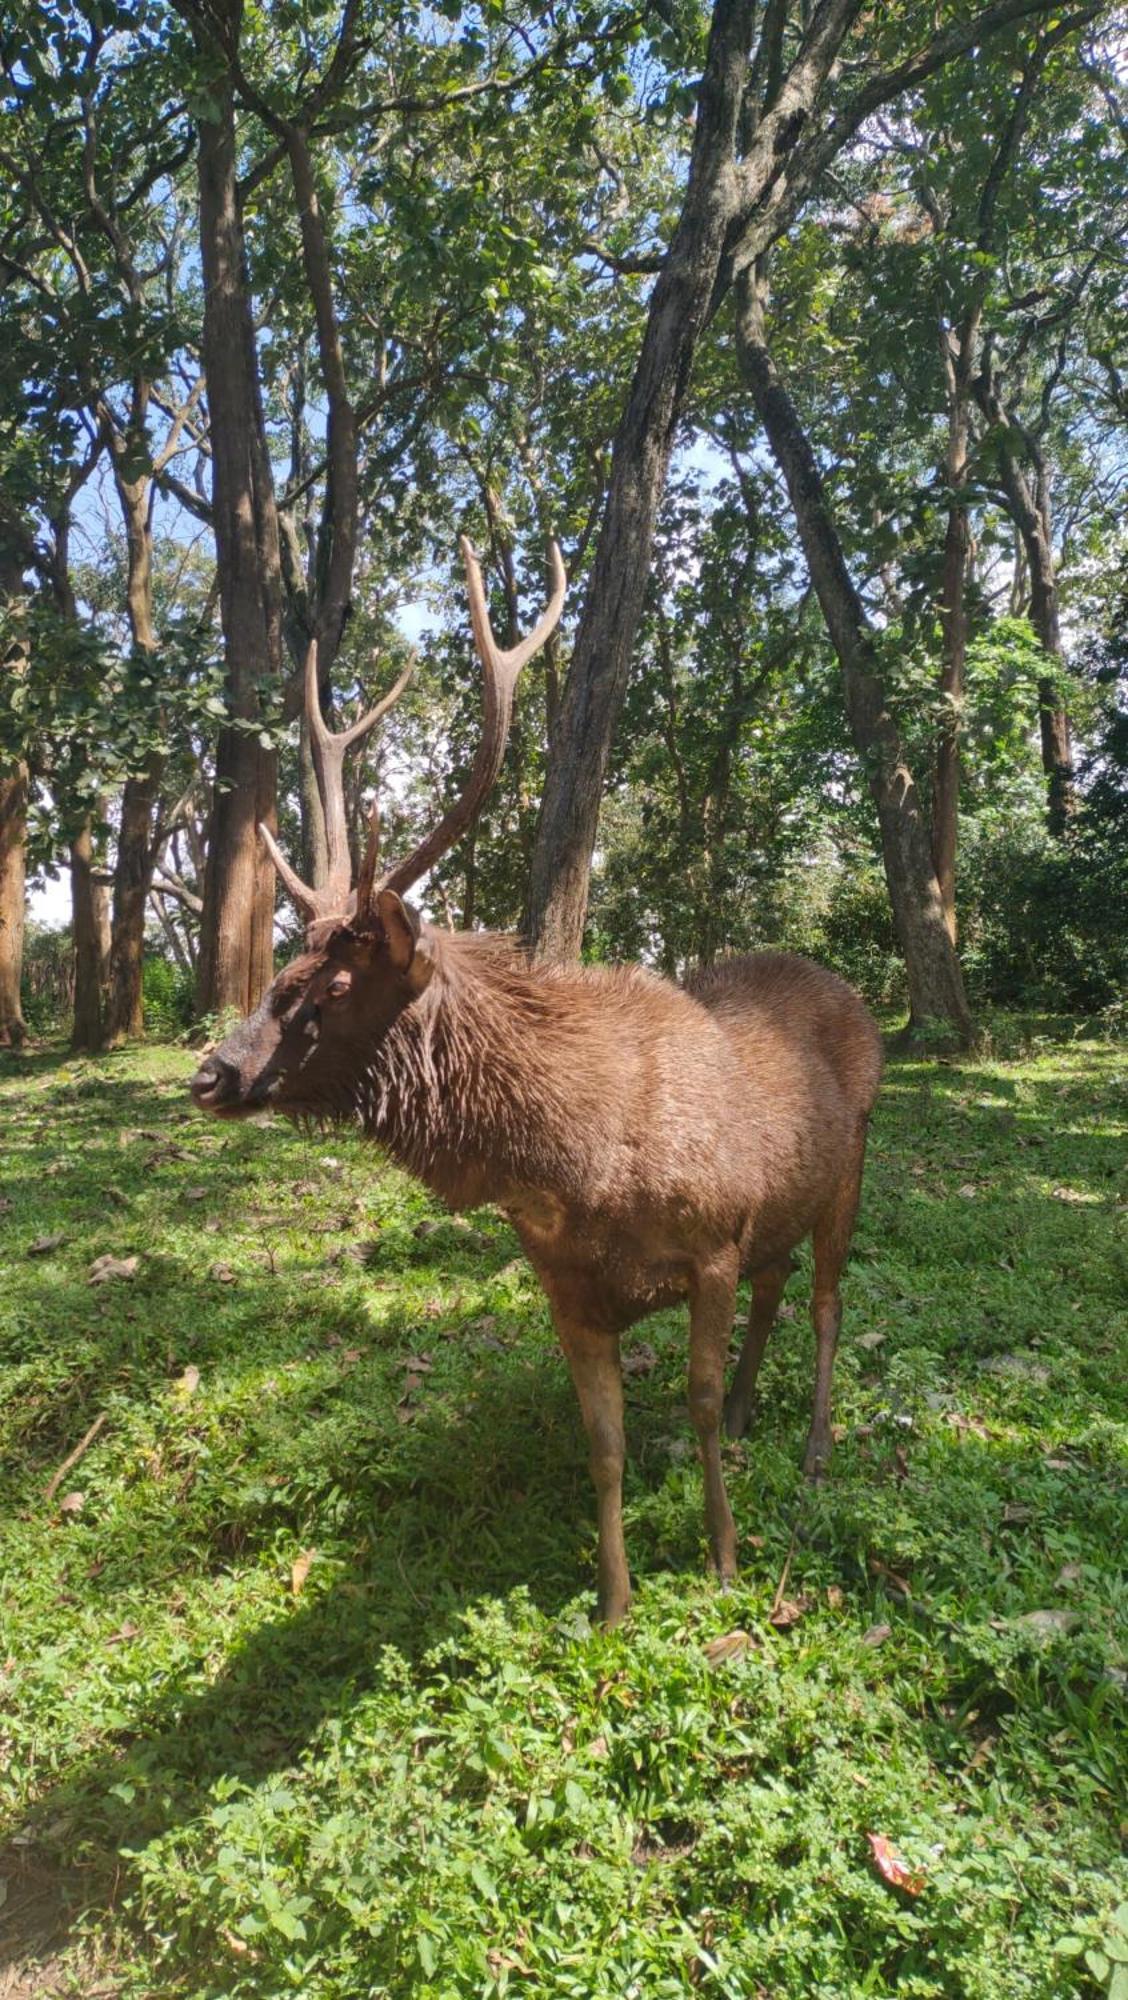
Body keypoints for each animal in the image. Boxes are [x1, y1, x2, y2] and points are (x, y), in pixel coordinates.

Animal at [192, 536, 880, 1624]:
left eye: (332, 985)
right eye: (278, 975)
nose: (212, 1072)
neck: (571, 1171)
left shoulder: (713, 1240)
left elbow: (686, 1396)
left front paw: (726, 1558)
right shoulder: (568, 1288)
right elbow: (603, 1445)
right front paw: (613, 1604)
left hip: (851, 1165)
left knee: (825, 1304)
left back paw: (811, 1447)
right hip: (785, 1199)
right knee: (779, 1291)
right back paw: (744, 1417)